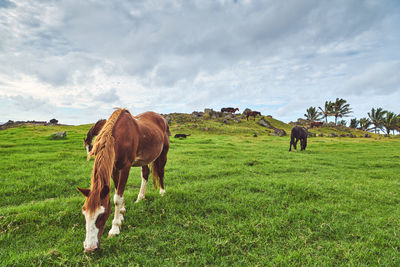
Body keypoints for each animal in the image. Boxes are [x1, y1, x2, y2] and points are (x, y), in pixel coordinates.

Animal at [77, 109, 170, 253]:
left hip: (163, 153)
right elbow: (117, 192)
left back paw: (162, 192)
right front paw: (121, 214)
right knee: (145, 174)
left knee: (160, 172)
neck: (118, 137)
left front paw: (115, 228)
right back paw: (140, 197)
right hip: (145, 159)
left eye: (102, 215)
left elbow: (117, 198)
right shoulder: (114, 168)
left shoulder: (125, 167)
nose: (89, 248)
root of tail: (161, 118)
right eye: (84, 212)